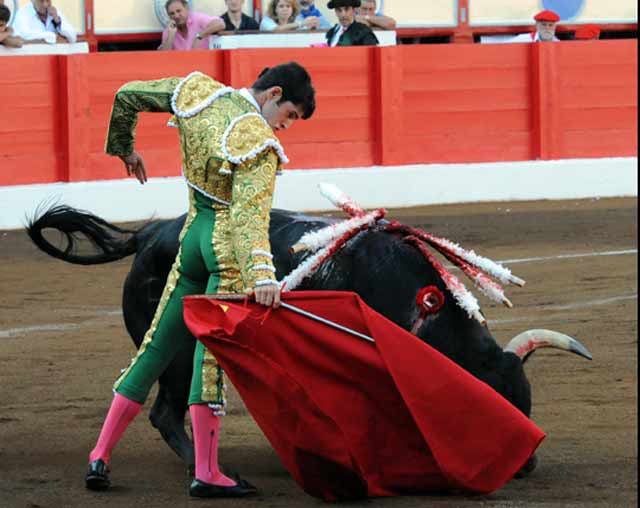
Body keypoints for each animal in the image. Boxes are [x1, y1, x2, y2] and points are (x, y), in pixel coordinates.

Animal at [27, 204, 592, 478]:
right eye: (490, 405)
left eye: (525, 401)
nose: (526, 466)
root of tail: (150, 235)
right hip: (176, 349)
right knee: (164, 407)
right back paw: (200, 467)